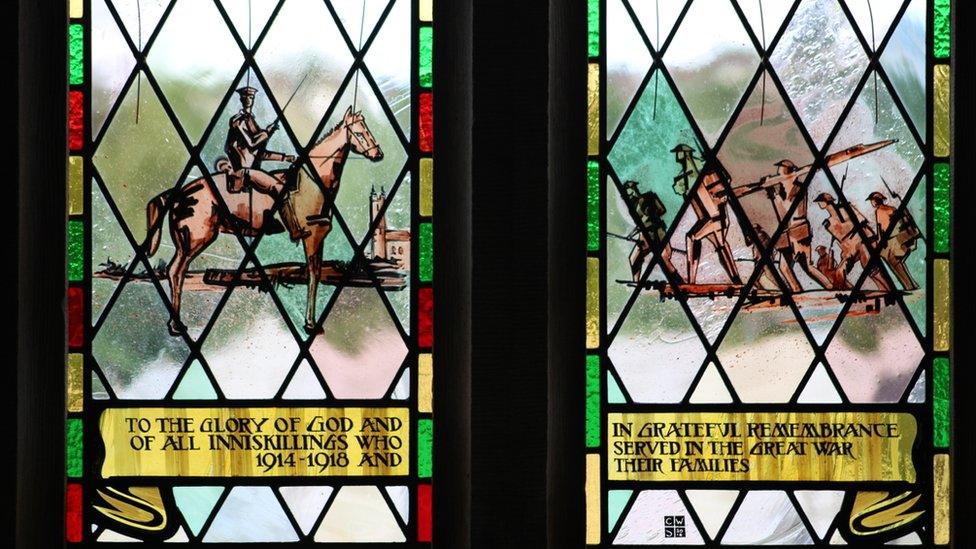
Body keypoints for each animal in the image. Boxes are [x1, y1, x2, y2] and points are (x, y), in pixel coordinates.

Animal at [147, 106, 384, 334]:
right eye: (360, 133)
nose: (378, 154)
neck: (314, 182)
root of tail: (178, 193)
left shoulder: (320, 237)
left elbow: (314, 272)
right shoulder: (312, 237)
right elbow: (313, 275)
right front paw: (310, 323)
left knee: (175, 272)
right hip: (195, 240)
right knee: (176, 272)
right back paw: (176, 325)